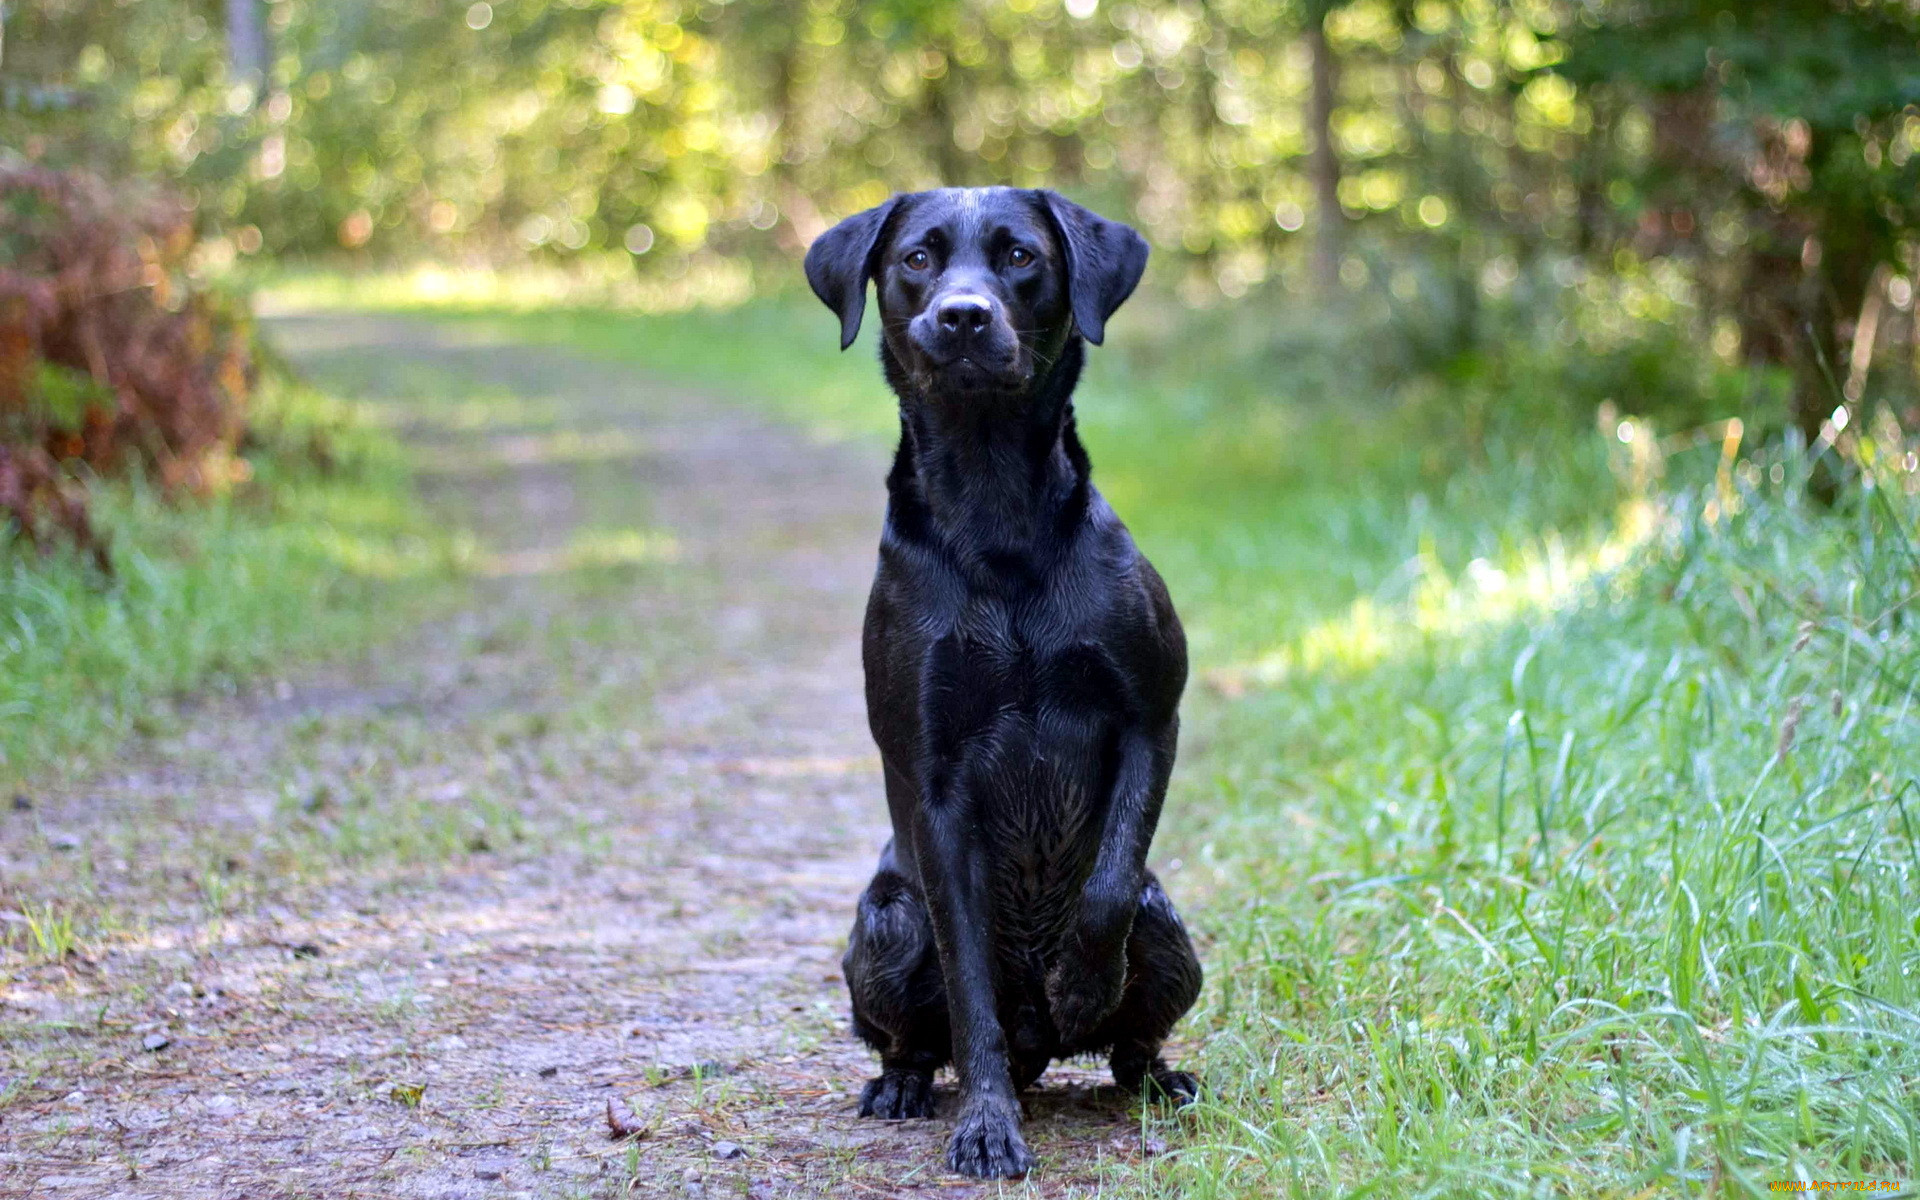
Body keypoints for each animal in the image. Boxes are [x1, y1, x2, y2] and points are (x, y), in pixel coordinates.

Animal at [806, 187, 1198, 1182]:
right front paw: (986, 1126)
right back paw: (904, 1086)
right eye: (916, 259)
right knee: (917, 1035)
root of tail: (1038, 1054)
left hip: (1170, 926)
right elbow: (968, 982)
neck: (996, 515)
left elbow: (1104, 891)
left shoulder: (1151, 714)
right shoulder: (933, 779)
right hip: (885, 924)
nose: (963, 315)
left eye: (1020, 255)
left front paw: (1084, 983)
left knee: (1132, 1037)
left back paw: (1152, 1073)